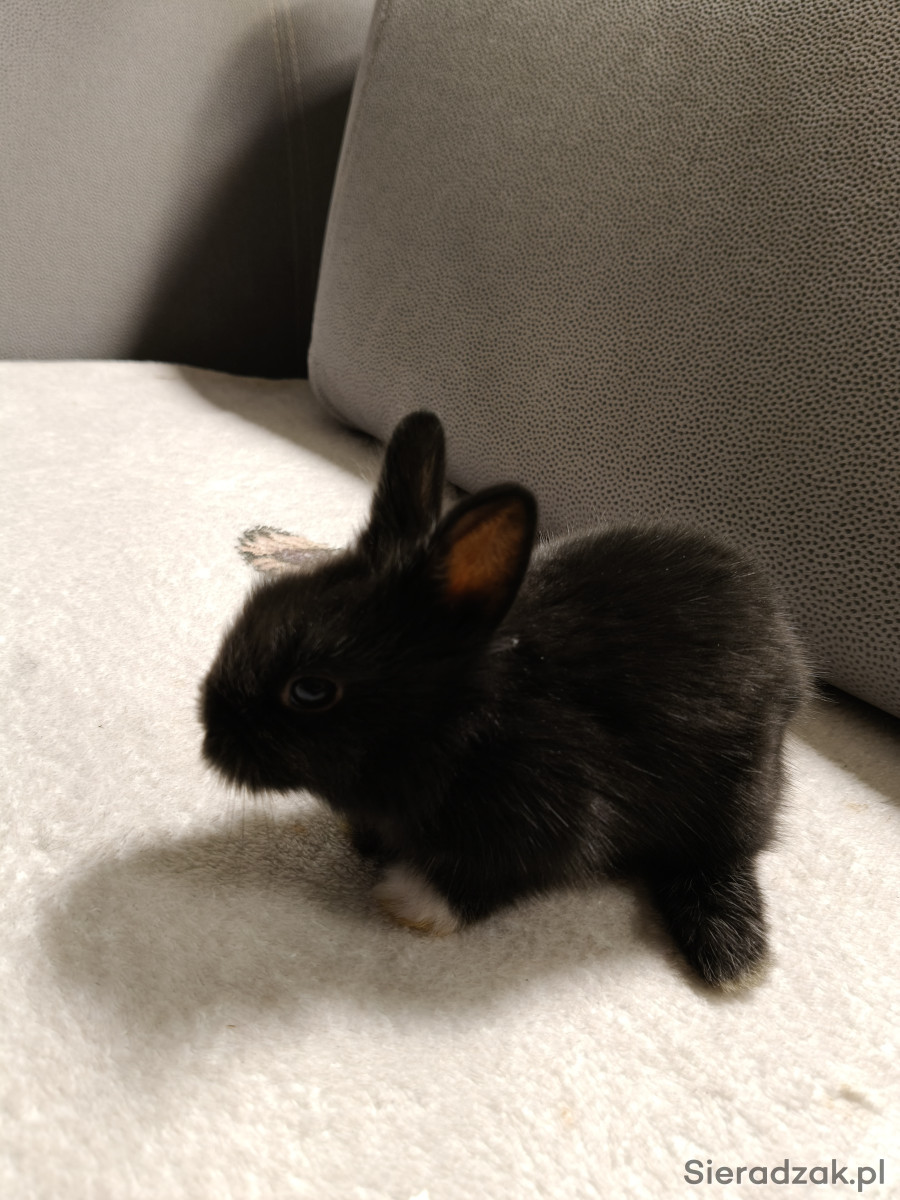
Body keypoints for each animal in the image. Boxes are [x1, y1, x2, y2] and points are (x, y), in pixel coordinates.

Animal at [200, 410, 810, 987]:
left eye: (310, 690)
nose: (211, 737)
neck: (461, 718)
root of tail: (789, 659)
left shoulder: (556, 821)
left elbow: (491, 877)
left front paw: (409, 903)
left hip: (731, 791)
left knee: (721, 855)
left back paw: (732, 956)